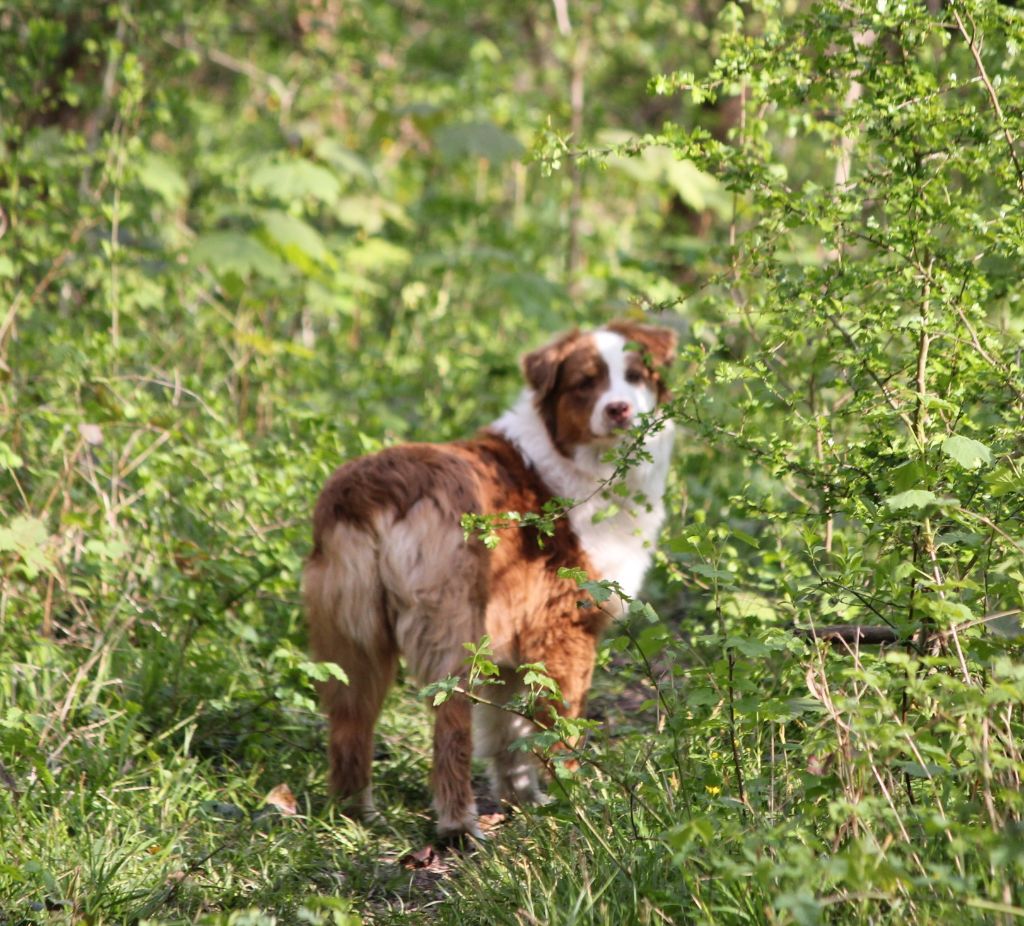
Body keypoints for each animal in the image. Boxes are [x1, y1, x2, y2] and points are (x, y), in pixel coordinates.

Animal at [299, 317, 675, 839]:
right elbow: (561, 728)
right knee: (450, 728)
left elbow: (508, 736)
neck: (574, 458)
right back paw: (459, 824)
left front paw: (526, 803)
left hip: (351, 636)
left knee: (350, 724)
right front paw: (576, 801)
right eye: (586, 383)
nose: (618, 409)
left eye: (636, 376)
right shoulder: (563, 630)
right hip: (453, 630)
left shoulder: (516, 643)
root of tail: (373, 492)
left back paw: (355, 815)